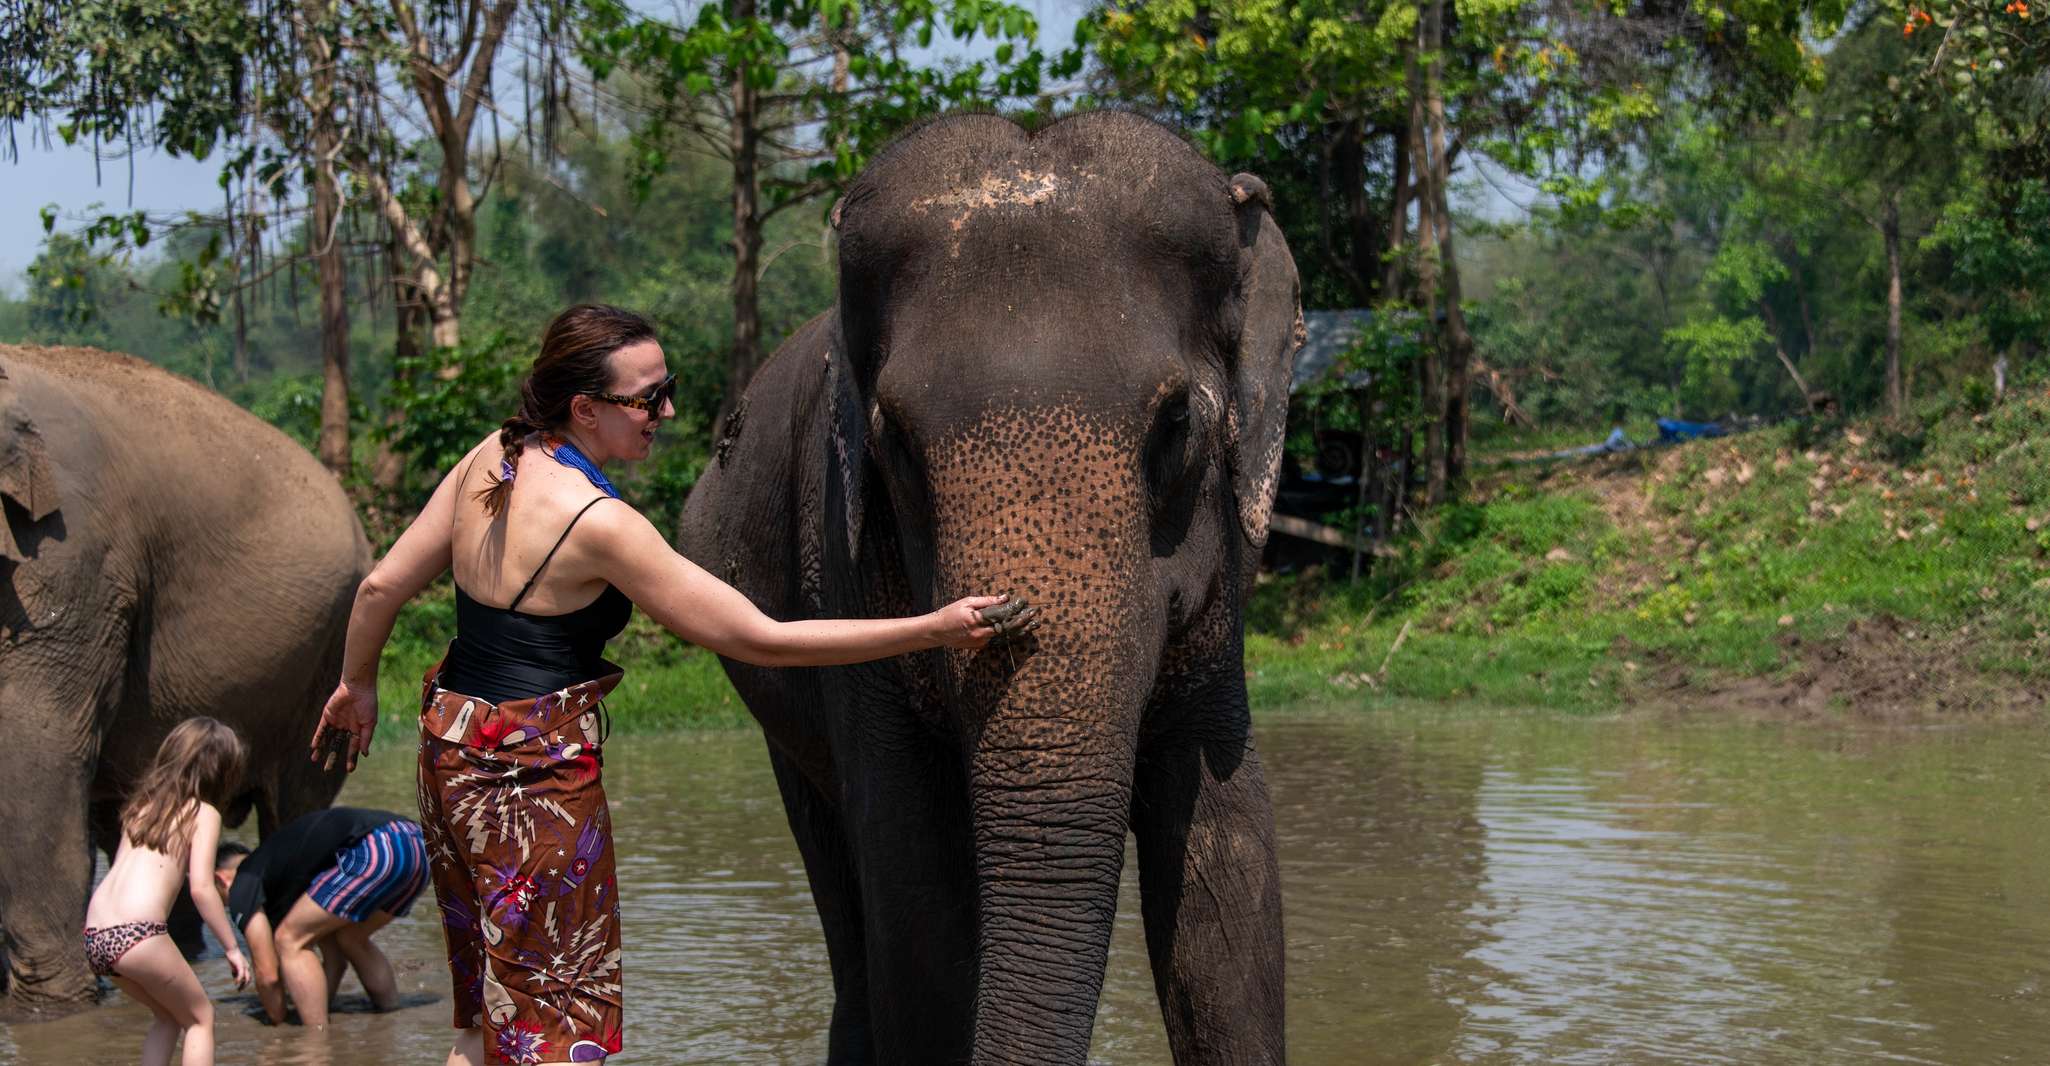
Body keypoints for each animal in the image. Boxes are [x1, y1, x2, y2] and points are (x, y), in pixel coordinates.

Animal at [678, 111, 1304, 1065]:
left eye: (1176, 425)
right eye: (894, 440)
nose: (1002, 611)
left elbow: (1230, 891)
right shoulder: (839, 567)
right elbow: (916, 899)